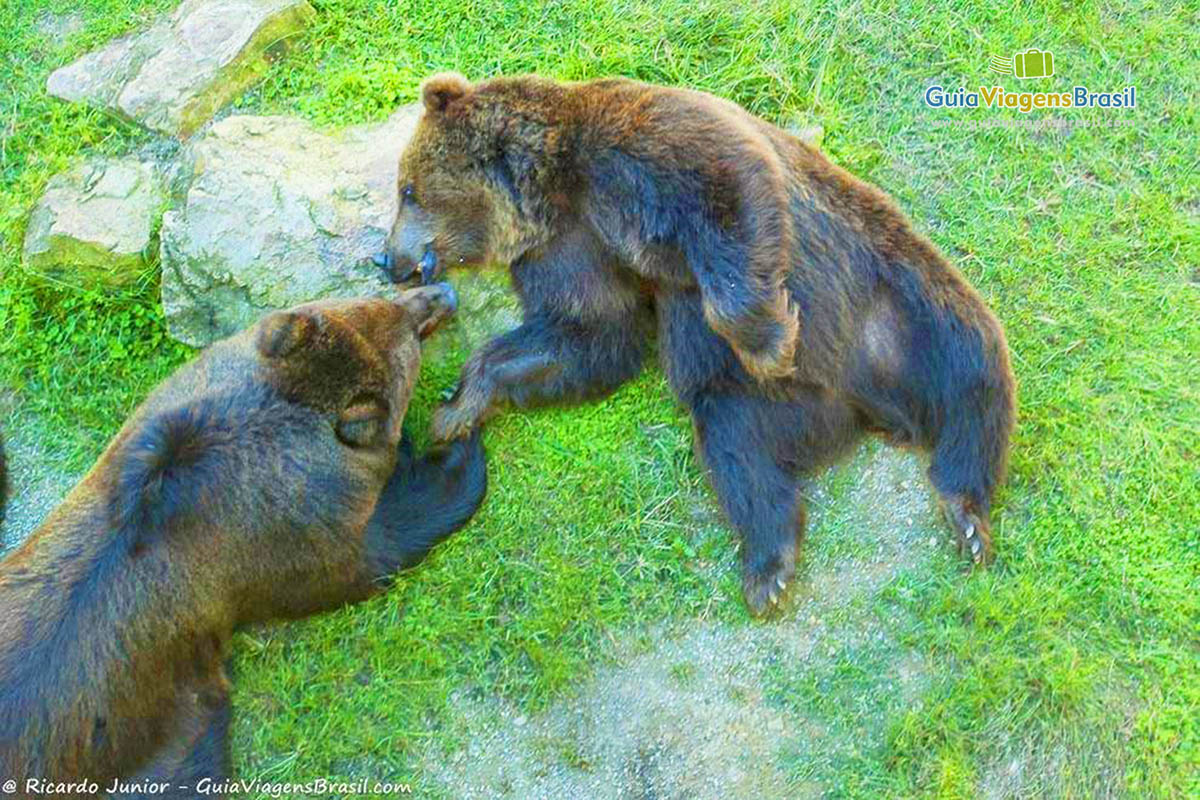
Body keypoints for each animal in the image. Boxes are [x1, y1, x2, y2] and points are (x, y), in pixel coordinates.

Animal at [2, 284, 487, 791]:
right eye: (410, 336)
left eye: (378, 300)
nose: (441, 293)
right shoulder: (297, 542)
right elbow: (385, 542)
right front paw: (459, 441)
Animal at [379, 71, 1017, 618]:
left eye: (407, 188)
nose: (390, 259)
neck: (556, 189)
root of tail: (862, 408)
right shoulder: (571, 249)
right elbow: (590, 334)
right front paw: (457, 406)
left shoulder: (650, 150)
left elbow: (729, 202)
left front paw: (772, 342)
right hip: (760, 404)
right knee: (740, 453)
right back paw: (768, 566)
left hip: (895, 301)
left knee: (973, 371)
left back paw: (966, 510)